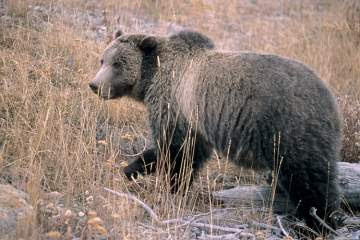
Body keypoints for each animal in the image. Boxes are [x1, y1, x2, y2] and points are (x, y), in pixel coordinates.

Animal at [88, 30, 342, 231]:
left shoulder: (176, 103)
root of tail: (330, 98)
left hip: (287, 127)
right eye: (102, 60)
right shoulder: (195, 121)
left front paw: (166, 185)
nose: (94, 85)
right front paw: (133, 169)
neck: (153, 77)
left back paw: (318, 223)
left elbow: (175, 151)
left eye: (117, 63)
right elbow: (190, 152)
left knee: (308, 179)